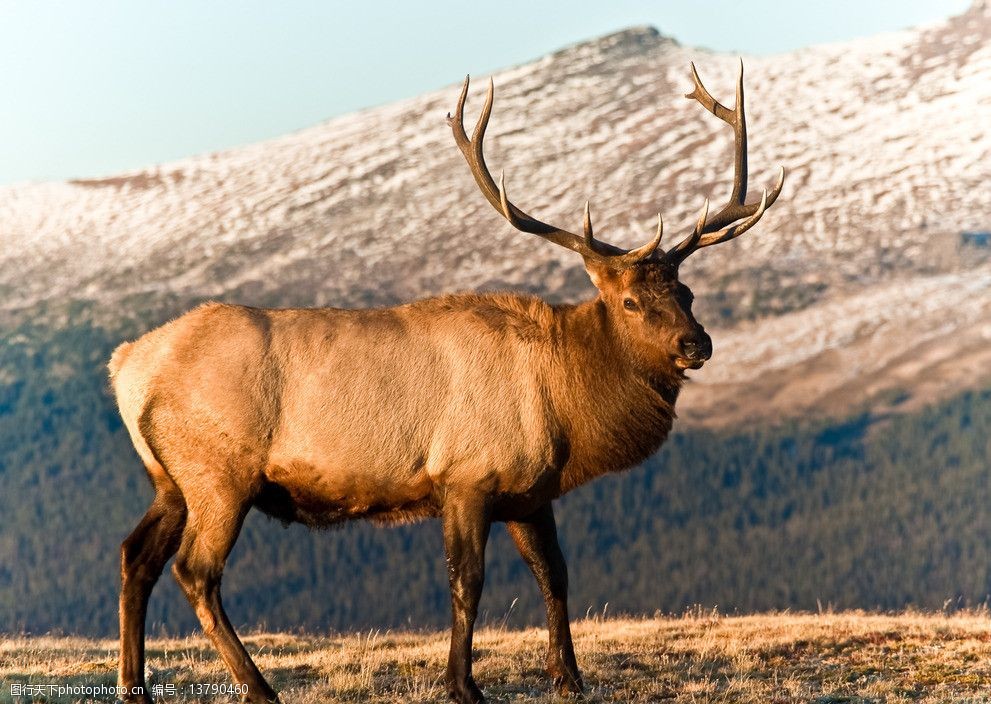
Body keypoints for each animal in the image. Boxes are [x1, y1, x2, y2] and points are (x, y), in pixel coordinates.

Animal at [112, 63, 784, 700]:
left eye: (686, 293)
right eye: (629, 301)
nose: (697, 344)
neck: (564, 406)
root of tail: (124, 366)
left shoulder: (528, 492)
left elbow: (556, 575)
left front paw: (568, 677)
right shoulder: (466, 476)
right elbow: (467, 581)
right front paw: (463, 684)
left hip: (170, 478)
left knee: (136, 557)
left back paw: (135, 686)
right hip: (220, 472)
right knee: (197, 571)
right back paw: (259, 687)